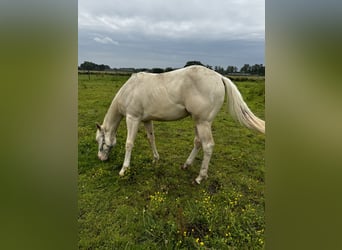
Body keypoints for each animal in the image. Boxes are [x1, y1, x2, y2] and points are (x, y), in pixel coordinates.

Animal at [96, 65, 264, 185]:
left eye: (100, 141)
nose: (101, 158)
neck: (130, 90)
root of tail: (220, 77)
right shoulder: (146, 120)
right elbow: (151, 139)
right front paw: (155, 159)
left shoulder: (133, 118)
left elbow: (129, 143)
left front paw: (124, 169)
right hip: (197, 121)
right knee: (198, 142)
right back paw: (186, 165)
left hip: (203, 123)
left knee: (208, 146)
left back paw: (200, 177)